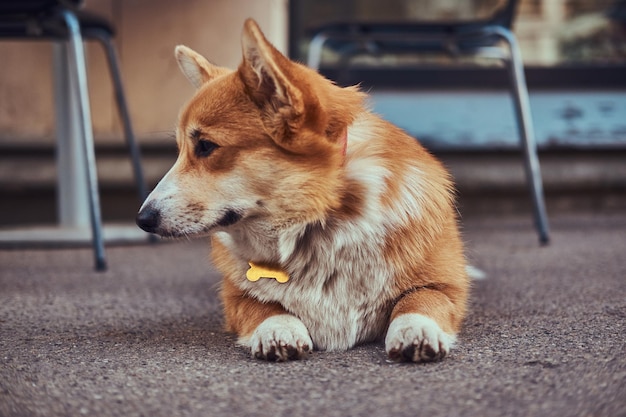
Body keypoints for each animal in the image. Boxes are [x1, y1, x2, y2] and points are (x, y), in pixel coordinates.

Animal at [138, 18, 468, 360]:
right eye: (180, 150)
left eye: (205, 146)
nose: (142, 219)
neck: (318, 222)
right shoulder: (236, 298)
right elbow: (265, 306)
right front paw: (277, 330)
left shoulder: (445, 285)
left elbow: (419, 299)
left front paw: (416, 331)